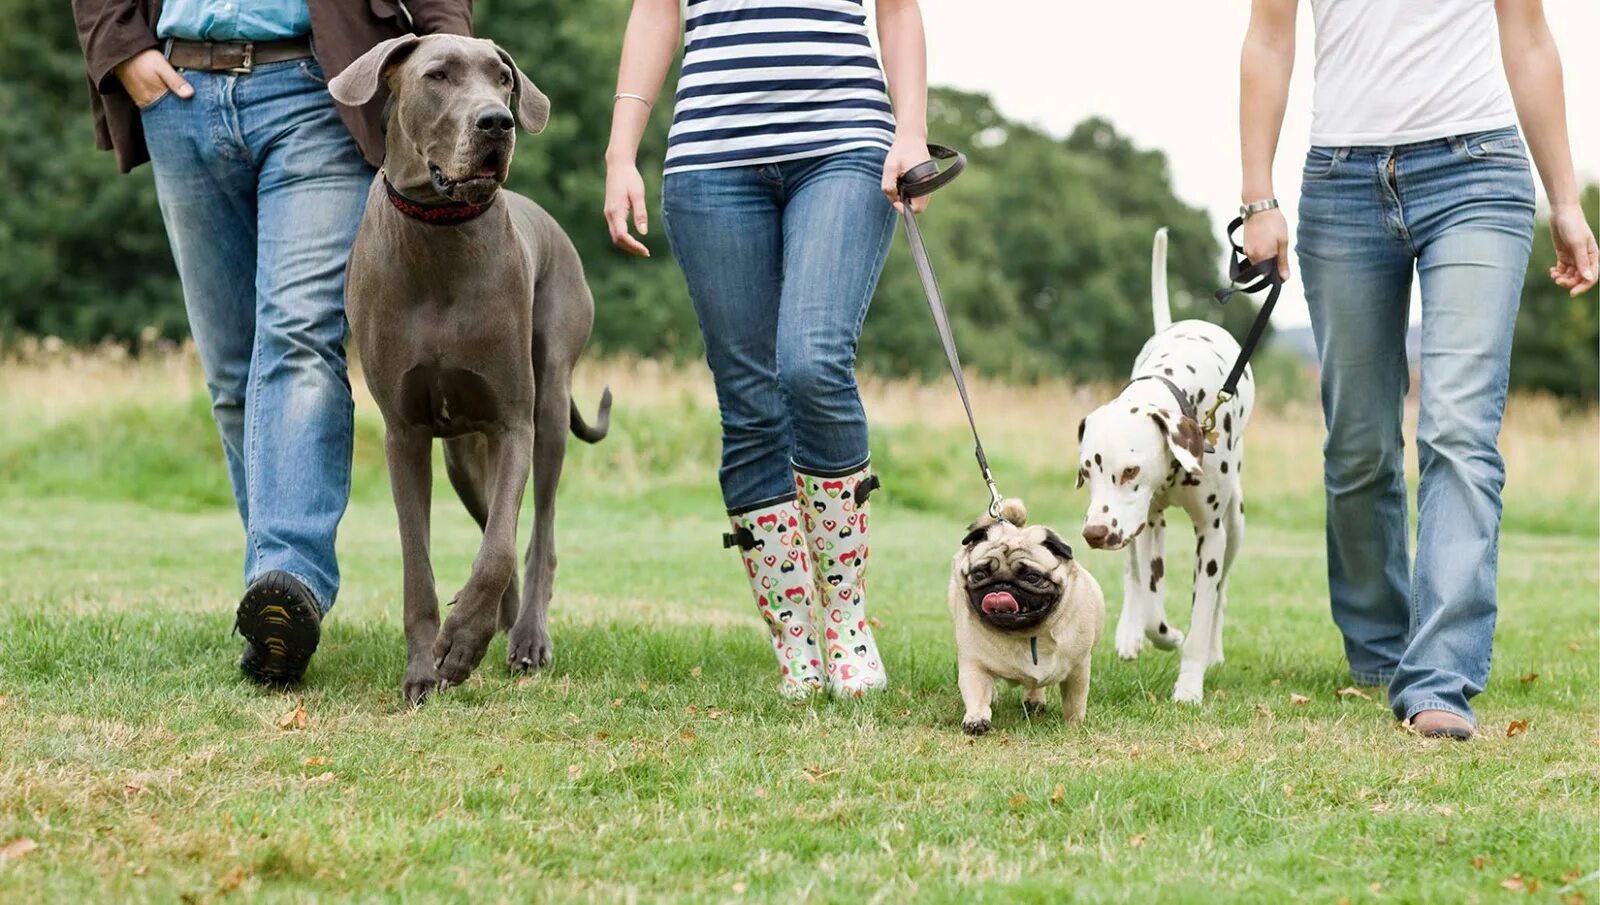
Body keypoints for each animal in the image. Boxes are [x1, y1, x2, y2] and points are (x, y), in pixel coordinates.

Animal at [940, 498, 1107, 741]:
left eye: (1032, 577)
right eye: (979, 574)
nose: (1002, 584)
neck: (1027, 633)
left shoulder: (1079, 668)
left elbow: (1075, 701)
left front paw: (1074, 726)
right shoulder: (974, 664)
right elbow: (976, 692)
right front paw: (976, 719)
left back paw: (1035, 700)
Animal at [1075, 225, 1248, 703]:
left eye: (1130, 470)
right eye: (1087, 472)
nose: (1094, 534)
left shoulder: (1211, 534)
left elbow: (1204, 609)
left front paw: (1190, 684)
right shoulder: (1147, 522)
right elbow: (1152, 600)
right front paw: (1162, 634)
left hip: (1235, 526)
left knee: (1223, 592)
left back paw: (1214, 650)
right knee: (1134, 576)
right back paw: (1130, 631)